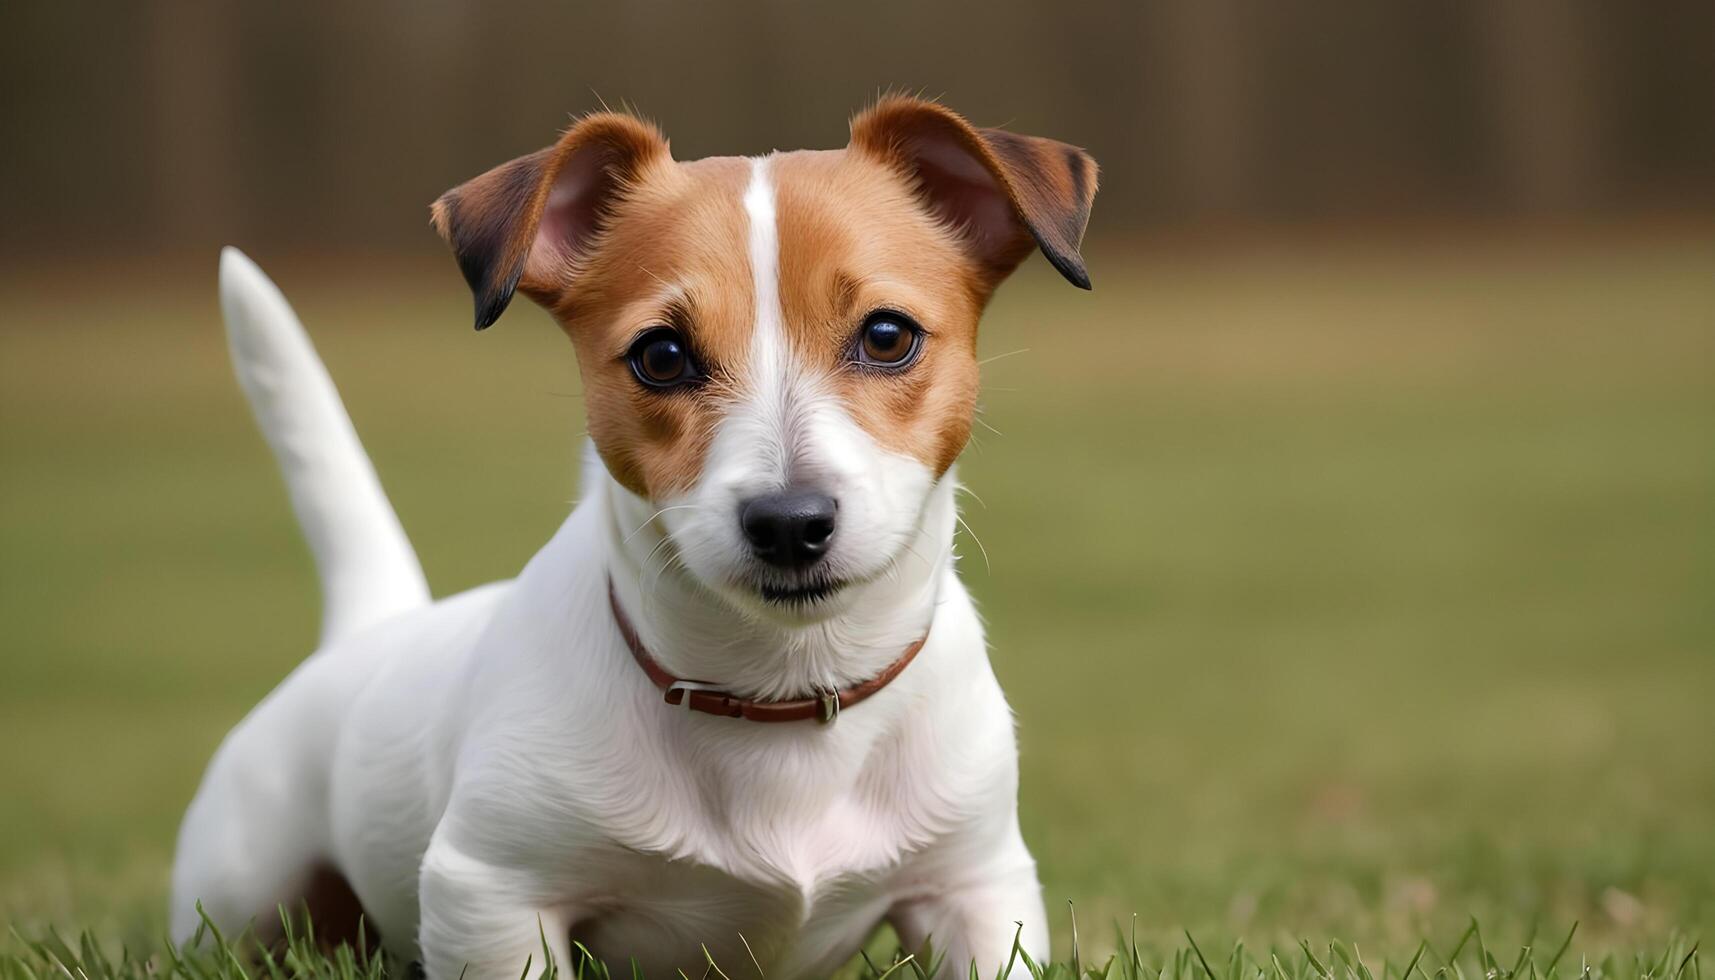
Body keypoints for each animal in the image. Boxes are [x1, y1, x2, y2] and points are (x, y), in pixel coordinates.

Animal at [174, 97, 1097, 980]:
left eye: (886, 335)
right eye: (661, 356)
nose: (789, 522)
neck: (779, 696)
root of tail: (370, 629)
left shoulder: (974, 888)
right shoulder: (493, 895)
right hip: (240, 895)